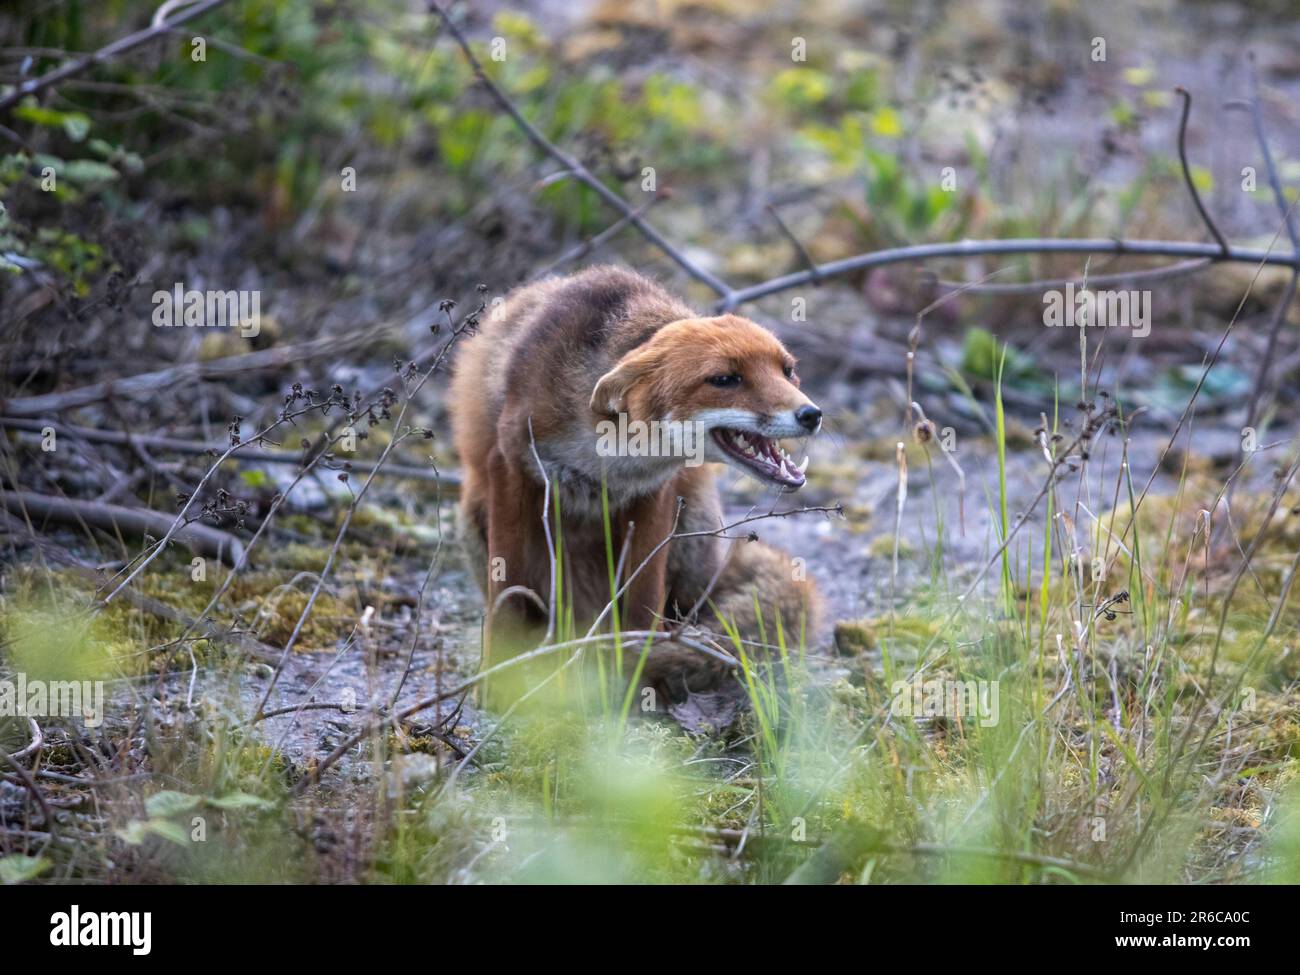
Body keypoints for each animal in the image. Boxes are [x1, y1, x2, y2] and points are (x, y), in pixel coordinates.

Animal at [449, 267, 821, 712]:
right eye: (724, 379)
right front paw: (497, 679)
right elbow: (505, 594)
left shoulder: (653, 490)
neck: (607, 453)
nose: (812, 414)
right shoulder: (510, 462)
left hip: (693, 526)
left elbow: (644, 603)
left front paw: (637, 680)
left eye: (788, 370)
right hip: (474, 517)